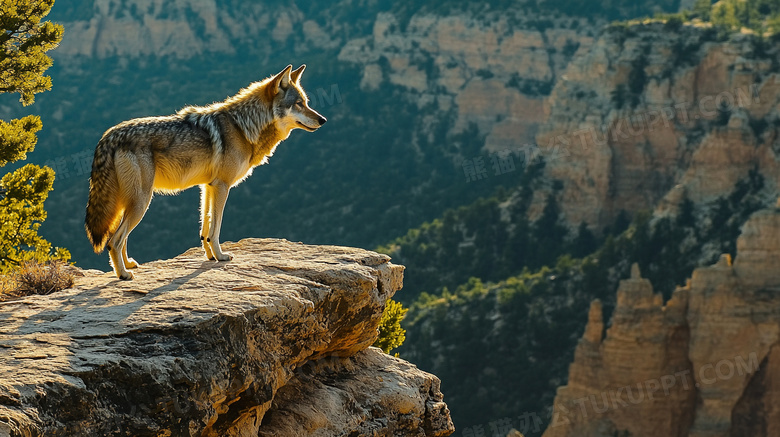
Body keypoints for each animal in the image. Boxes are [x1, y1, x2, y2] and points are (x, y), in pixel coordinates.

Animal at [85, 64, 326, 280]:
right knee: (114, 240)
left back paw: (129, 265)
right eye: (298, 104)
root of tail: (108, 136)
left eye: (306, 102)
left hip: (129, 203)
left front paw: (210, 256)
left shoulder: (208, 187)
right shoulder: (222, 186)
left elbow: (205, 229)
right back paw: (123, 274)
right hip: (142, 201)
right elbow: (216, 228)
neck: (243, 127)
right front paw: (220, 256)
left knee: (119, 237)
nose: (323, 120)